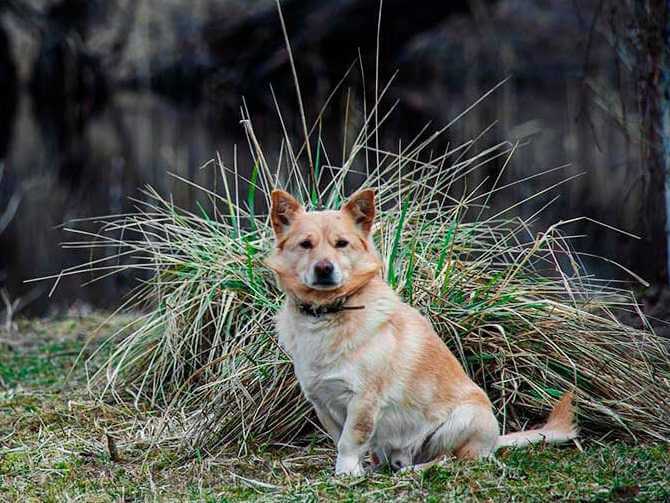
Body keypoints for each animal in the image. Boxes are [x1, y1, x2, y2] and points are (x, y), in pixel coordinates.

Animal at [266, 188, 580, 476]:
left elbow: (350, 441)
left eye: (341, 244)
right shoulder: (322, 403)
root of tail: (494, 440)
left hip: (462, 420)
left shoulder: (364, 401)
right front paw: (354, 470)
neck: (328, 314)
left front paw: (347, 474)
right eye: (306, 244)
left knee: (451, 459)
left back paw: (415, 469)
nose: (324, 268)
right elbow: (339, 438)